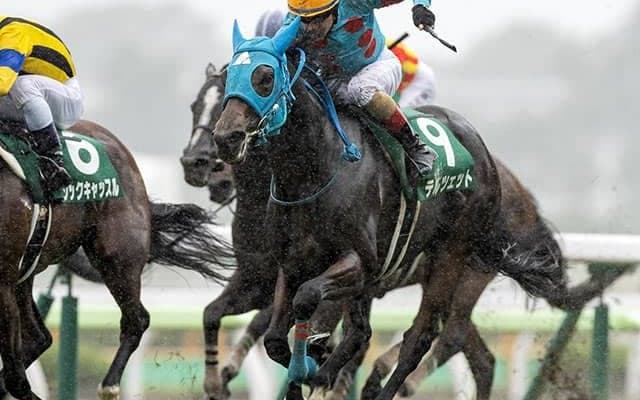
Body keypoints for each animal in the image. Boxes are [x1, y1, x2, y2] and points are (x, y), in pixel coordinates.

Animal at [0, 119, 233, 400]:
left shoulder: (2, 282)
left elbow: (15, 377)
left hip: (117, 257)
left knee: (137, 320)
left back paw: (109, 385)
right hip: (27, 270)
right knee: (38, 338)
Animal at [213, 21, 610, 400]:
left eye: (265, 77)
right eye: (229, 77)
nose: (224, 139)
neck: (314, 172)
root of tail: (486, 155)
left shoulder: (358, 262)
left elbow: (308, 301)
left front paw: (316, 365)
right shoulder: (291, 264)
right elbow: (278, 340)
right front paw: (314, 366)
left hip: (455, 255)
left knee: (424, 336)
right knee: (421, 342)